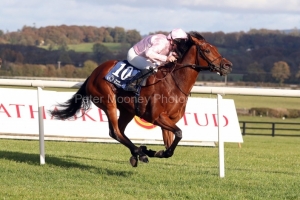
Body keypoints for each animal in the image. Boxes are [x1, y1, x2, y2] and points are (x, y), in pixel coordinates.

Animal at [49, 32, 232, 167]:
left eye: (215, 48)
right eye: (207, 50)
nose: (228, 65)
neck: (174, 82)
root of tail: (94, 73)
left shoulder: (168, 120)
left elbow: (170, 147)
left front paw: (154, 151)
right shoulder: (156, 117)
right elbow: (179, 133)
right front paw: (149, 151)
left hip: (127, 110)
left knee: (120, 131)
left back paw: (138, 153)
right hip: (109, 103)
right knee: (115, 132)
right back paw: (139, 153)